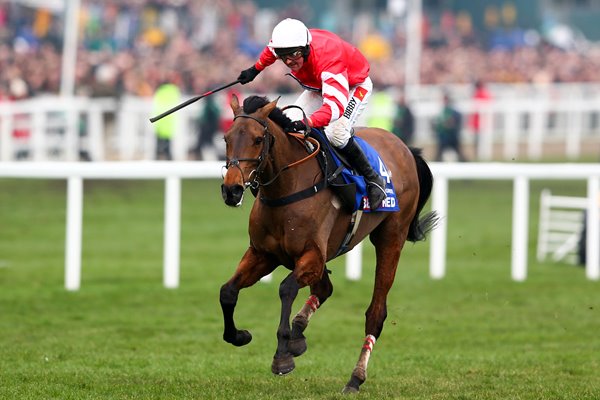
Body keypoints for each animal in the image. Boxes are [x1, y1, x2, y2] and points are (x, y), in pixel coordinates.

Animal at [220, 94, 436, 394]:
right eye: (227, 138)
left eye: (257, 139)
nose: (232, 190)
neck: (287, 188)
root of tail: (404, 147)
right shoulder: (263, 254)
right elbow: (227, 292)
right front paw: (239, 335)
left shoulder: (311, 255)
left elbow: (286, 288)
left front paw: (282, 356)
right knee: (324, 288)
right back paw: (299, 332)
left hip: (391, 236)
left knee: (375, 313)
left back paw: (355, 377)